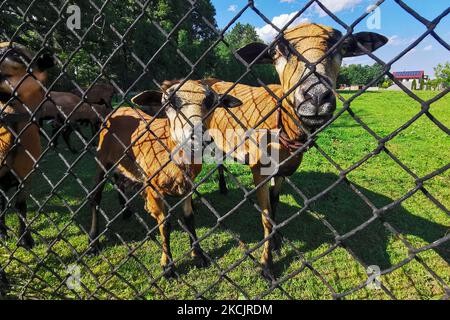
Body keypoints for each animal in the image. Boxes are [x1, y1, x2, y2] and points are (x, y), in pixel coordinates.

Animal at [88, 79, 243, 276]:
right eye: (169, 102)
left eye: (212, 102)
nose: (198, 135)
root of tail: (120, 108)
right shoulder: (154, 187)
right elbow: (165, 223)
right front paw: (167, 265)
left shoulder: (188, 187)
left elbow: (189, 218)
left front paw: (198, 255)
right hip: (102, 160)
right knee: (96, 197)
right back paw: (93, 243)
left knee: (120, 181)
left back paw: (126, 210)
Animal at [206, 23, 388, 282]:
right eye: (276, 52)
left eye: (342, 47)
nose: (316, 96)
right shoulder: (260, 172)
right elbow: (266, 217)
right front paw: (267, 266)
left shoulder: (283, 171)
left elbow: (275, 205)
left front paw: (276, 242)